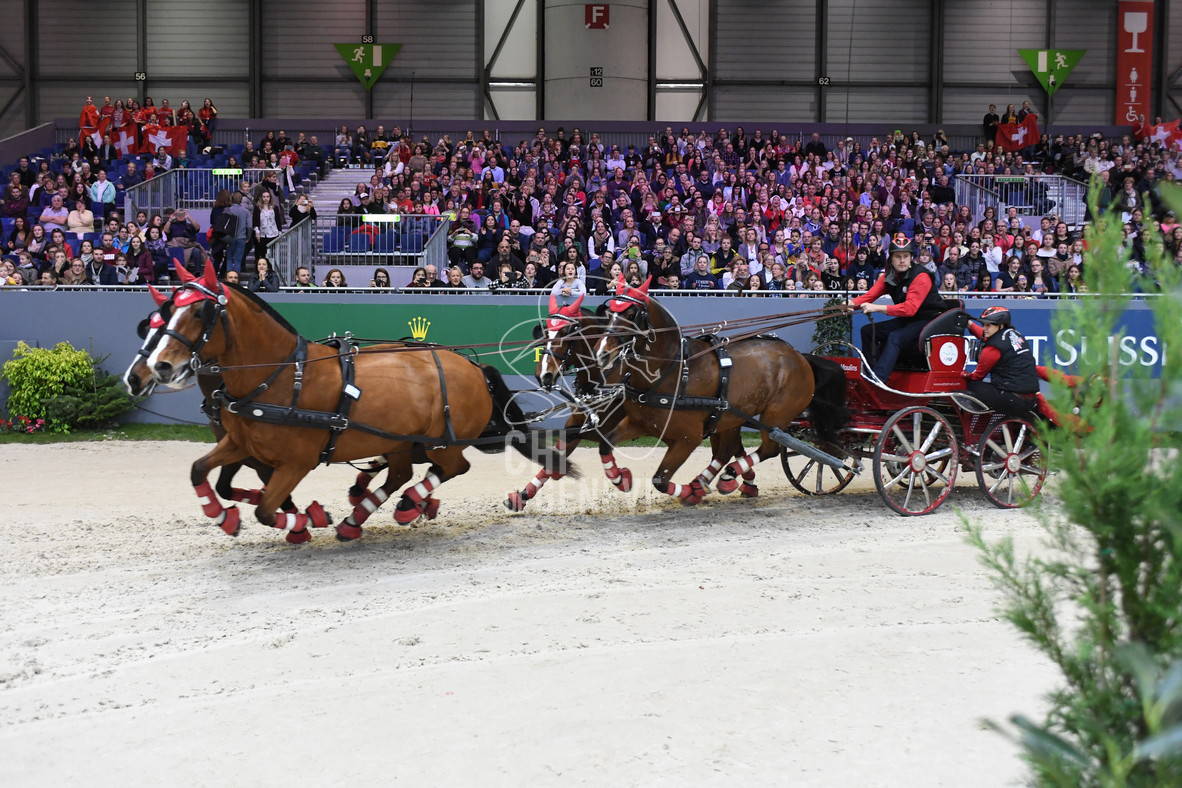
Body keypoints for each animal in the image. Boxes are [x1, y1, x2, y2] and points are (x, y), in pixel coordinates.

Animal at [122, 262, 574, 545]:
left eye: (200, 312)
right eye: (156, 320)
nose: (153, 370)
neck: (279, 378)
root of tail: (469, 364)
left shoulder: (295, 462)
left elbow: (267, 508)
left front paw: (307, 520)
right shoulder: (240, 445)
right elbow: (204, 474)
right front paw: (224, 516)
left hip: (443, 441)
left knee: (450, 468)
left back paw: (407, 504)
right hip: (399, 440)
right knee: (403, 473)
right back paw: (364, 516)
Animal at [588, 277, 851, 505]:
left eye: (631, 313)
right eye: (608, 313)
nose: (602, 353)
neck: (673, 370)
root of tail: (800, 357)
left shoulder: (688, 438)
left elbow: (660, 480)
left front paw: (690, 493)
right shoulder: (639, 423)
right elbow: (605, 444)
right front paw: (620, 477)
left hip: (776, 415)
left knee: (769, 448)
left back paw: (727, 476)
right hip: (731, 415)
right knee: (727, 450)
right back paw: (713, 480)